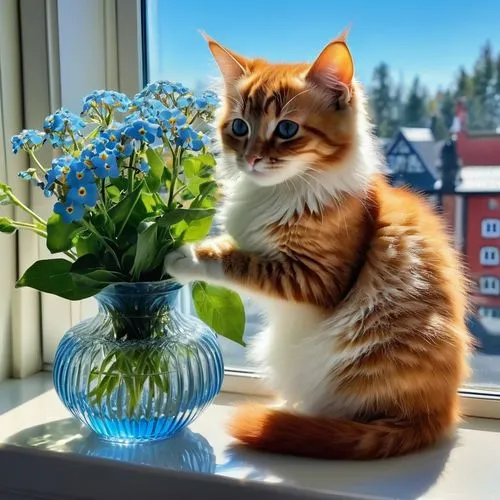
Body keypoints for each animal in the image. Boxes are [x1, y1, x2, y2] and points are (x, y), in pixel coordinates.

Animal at [165, 33, 472, 458]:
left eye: (287, 129)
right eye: (239, 127)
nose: (251, 158)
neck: (280, 192)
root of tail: (437, 415)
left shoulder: (314, 277)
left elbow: (237, 262)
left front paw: (183, 256)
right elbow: (232, 244)